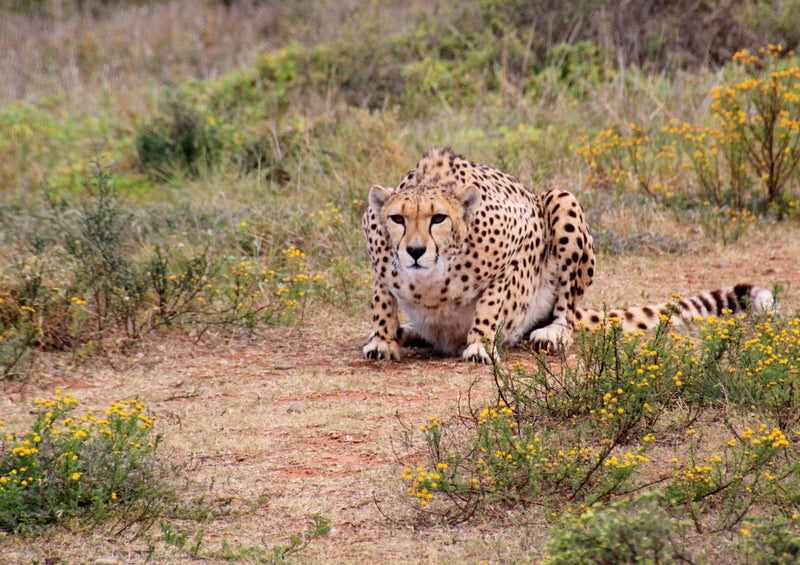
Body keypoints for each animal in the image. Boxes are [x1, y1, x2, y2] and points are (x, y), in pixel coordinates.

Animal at [364, 148, 776, 364]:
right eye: (398, 219)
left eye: (439, 218)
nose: (415, 251)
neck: (431, 278)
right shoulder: (378, 253)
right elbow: (382, 299)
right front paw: (383, 339)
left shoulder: (524, 239)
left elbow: (493, 299)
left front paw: (480, 342)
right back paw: (407, 331)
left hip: (561, 200)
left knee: (566, 308)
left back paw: (553, 332)